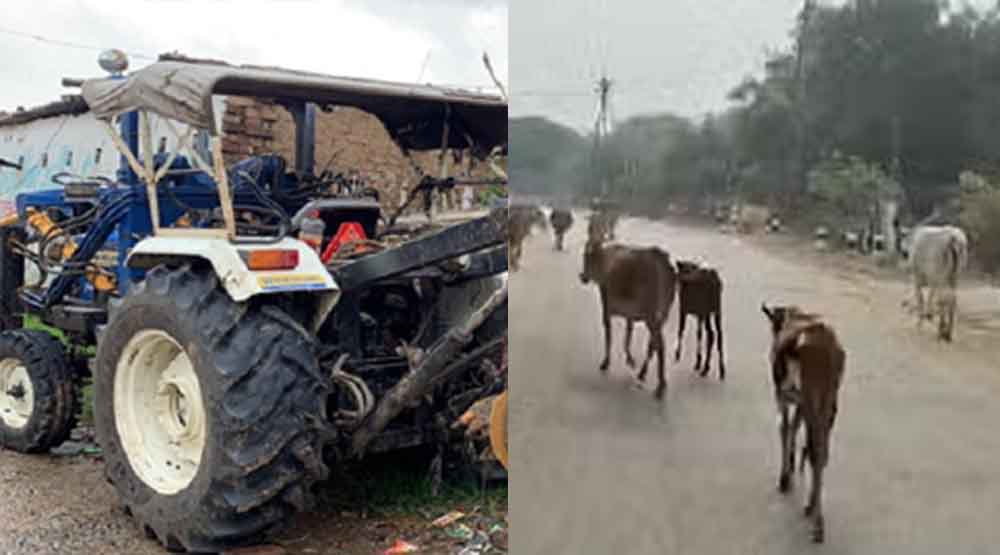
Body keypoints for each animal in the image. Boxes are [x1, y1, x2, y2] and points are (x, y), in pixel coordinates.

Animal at [580, 239, 680, 400]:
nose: (582, 276)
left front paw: (605, 363)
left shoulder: (606, 307)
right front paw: (630, 360)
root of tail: (662, 260)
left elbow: (610, 337)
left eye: (586, 258)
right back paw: (642, 375)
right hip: (664, 313)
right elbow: (627, 336)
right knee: (653, 344)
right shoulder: (630, 315)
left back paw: (660, 386)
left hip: (651, 315)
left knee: (660, 345)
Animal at [764, 302, 844, 544]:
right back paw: (812, 508)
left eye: (773, 325)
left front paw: (784, 478)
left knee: (815, 450)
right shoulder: (799, 402)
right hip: (828, 401)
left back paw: (817, 523)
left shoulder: (783, 396)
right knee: (821, 451)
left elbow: (784, 427)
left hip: (809, 397)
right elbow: (794, 428)